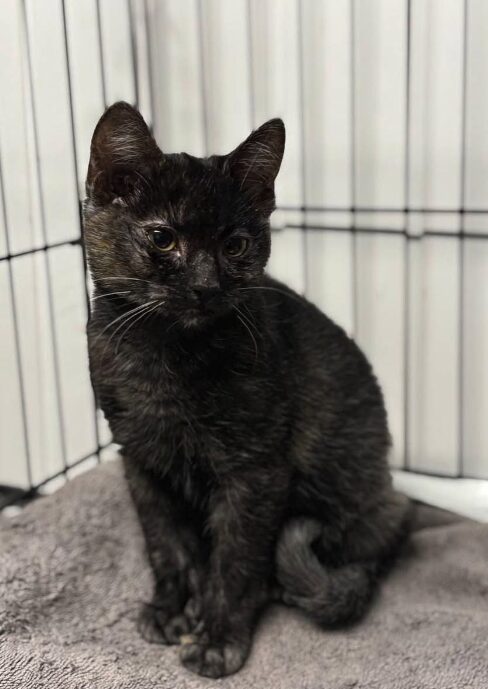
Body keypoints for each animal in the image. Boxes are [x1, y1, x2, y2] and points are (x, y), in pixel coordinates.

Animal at [85, 102, 412, 676]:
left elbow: (235, 560)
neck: (161, 359)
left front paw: (217, 636)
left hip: (356, 487)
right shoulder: (140, 462)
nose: (205, 286)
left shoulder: (255, 471)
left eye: (235, 245)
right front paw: (172, 608)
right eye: (164, 238)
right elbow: (165, 544)